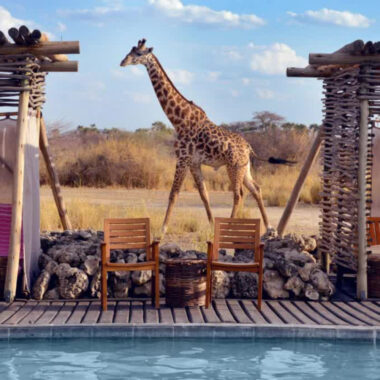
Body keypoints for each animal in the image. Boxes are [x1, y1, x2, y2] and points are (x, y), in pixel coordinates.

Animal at [120, 39, 292, 235]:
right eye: (130, 50)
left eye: (139, 53)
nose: (122, 62)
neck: (178, 120)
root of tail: (248, 147)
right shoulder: (194, 163)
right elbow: (204, 194)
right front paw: (210, 225)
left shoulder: (182, 159)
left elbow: (174, 193)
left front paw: (163, 229)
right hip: (245, 167)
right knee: (256, 189)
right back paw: (269, 228)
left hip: (233, 167)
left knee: (238, 194)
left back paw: (230, 228)